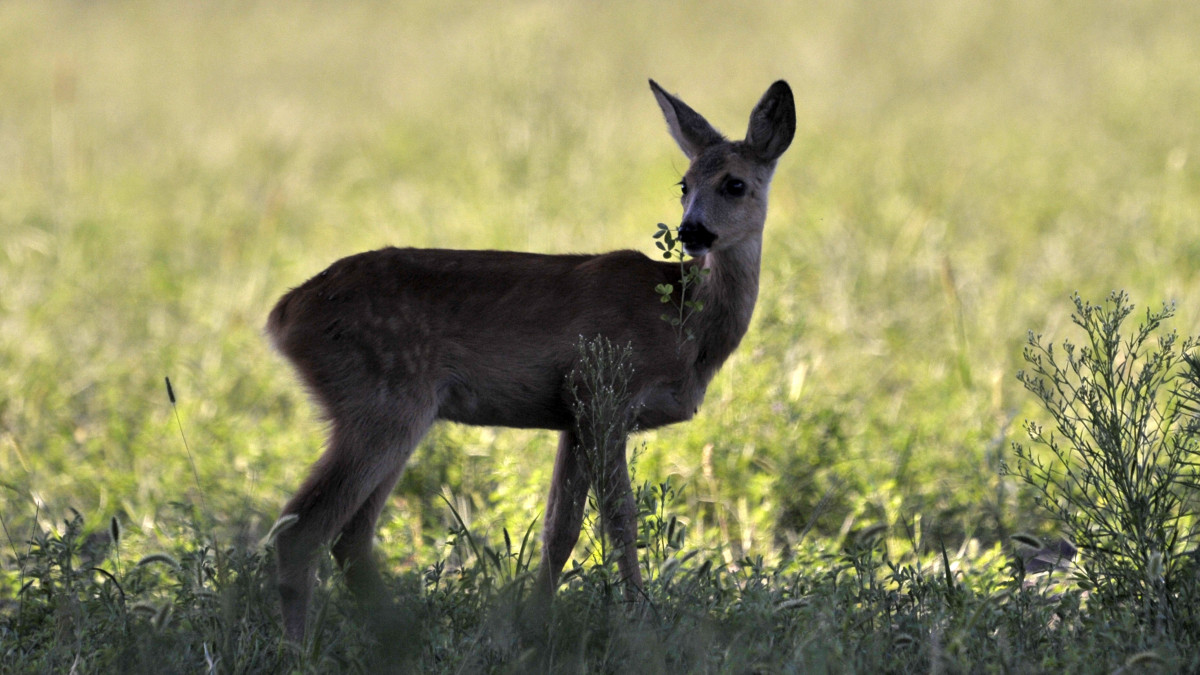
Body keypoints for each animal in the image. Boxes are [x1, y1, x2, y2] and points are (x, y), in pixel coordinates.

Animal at [266, 78, 792, 634]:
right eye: (684, 184)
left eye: (735, 184)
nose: (691, 230)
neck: (687, 326)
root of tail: (284, 314)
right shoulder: (605, 387)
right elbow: (620, 518)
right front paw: (639, 619)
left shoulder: (575, 413)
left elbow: (559, 528)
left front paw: (536, 620)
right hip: (383, 400)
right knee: (301, 530)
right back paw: (303, 645)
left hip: (389, 411)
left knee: (350, 537)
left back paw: (397, 634)